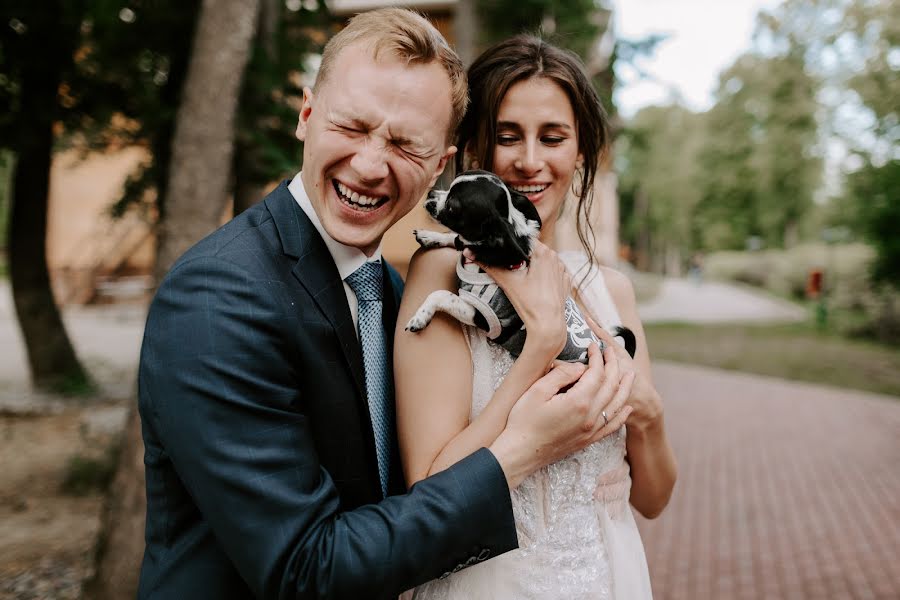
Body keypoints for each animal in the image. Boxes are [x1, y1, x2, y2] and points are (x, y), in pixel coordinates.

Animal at [404, 171, 636, 364]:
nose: (430, 193)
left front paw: (420, 316)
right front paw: (430, 236)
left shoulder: (483, 316)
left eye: (452, 206)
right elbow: (457, 239)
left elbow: (442, 294)